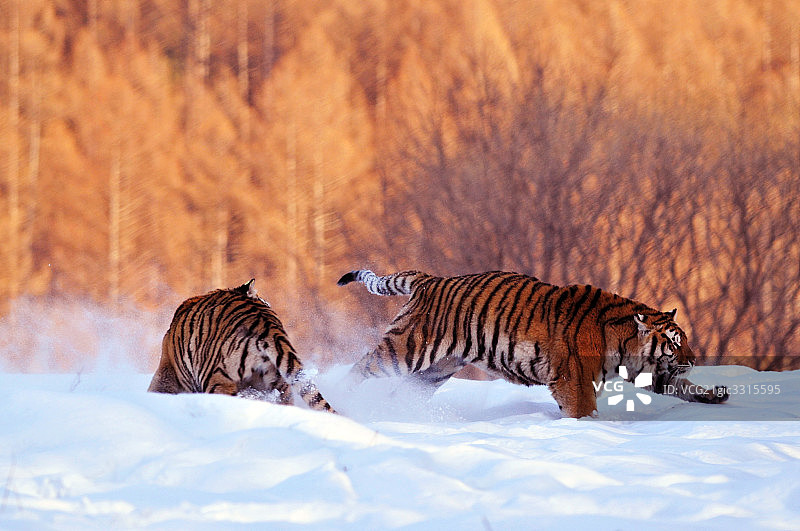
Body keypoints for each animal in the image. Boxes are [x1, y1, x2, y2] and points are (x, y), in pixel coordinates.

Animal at [337, 269, 729, 418]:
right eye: (675, 342)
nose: (693, 359)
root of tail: (430, 279)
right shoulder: (574, 379)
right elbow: (583, 410)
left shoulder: (655, 373)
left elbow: (682, 386)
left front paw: (716, 395)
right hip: (407, 350)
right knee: (360, 368)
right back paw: (340, 399)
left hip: (434, 371)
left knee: (399, 394)